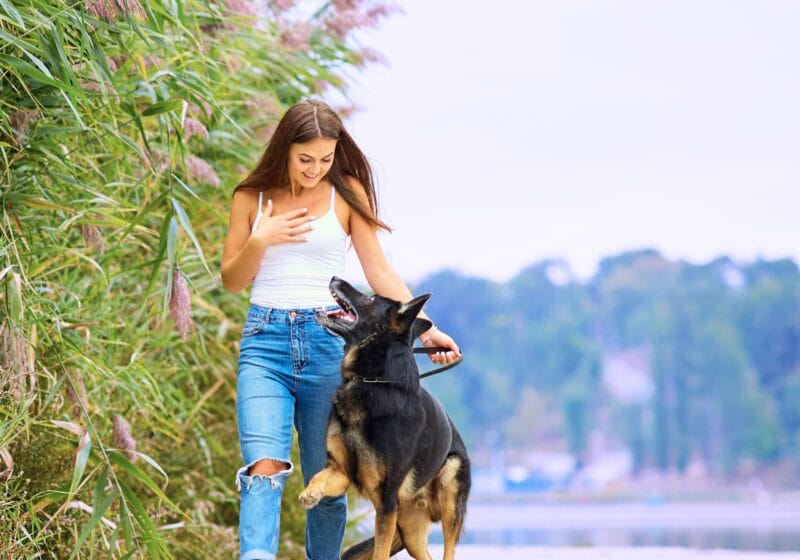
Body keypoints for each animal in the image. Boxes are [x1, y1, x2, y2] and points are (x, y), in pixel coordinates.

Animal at [304, 276, 472, 560]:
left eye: (370, 298)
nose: (335, 277)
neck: (371, 381)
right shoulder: (340, 473)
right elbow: (318, 477)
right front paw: (310, 493)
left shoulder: (385, 504)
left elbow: (379, 553)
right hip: (410, 531)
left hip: (449, 501)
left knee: (448, 549)